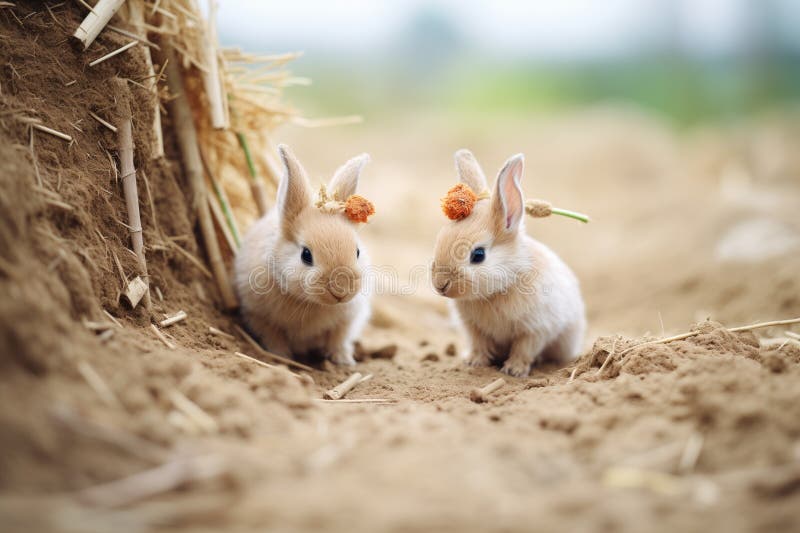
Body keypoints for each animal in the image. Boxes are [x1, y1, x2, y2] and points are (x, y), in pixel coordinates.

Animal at [235, 144, 372, 366]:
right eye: (306, 255)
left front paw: (343, 361)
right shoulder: (260, 317)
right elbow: (275, 338)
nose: (341, 291)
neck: (310, 302)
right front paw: (281, 358)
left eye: (357, 251)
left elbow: (338, 339)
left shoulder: (347, 320)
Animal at [431, 149, 586, 377]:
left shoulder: (536, 328)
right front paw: (474, 362)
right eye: (439, 240)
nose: (440, 285)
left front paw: (514, 370)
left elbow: (524, 349)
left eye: (478, 255)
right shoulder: (474, 328)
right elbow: (479, 344)